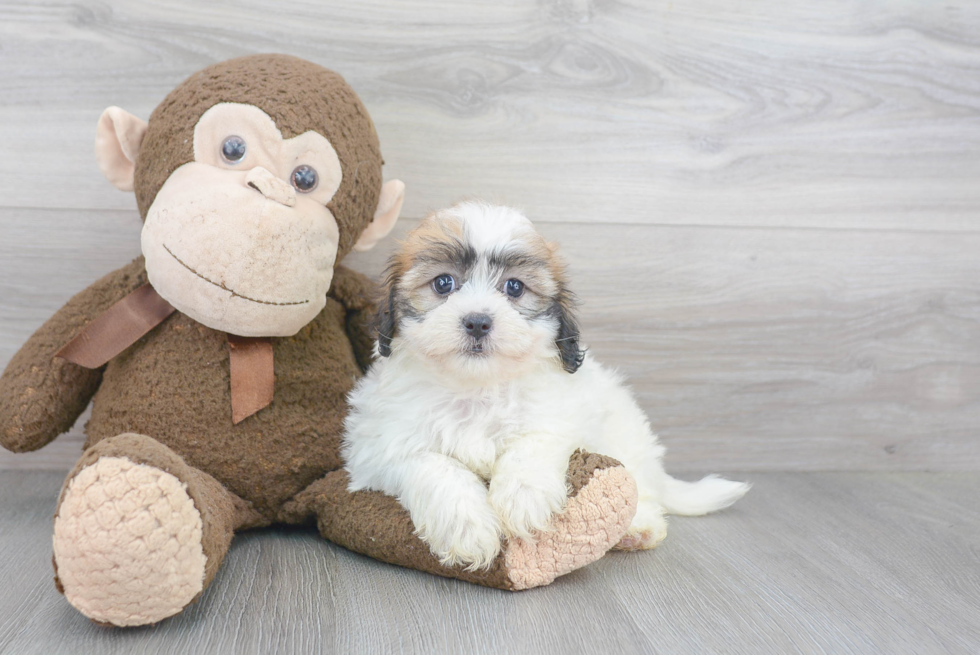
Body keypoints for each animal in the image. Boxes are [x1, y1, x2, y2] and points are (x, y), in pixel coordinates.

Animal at [340, 201, 748, 568]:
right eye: (443, 283)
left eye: (514, 288)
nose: (477, 321)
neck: (477, 387)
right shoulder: (381, 443)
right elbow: (434, 466)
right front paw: (467, 526)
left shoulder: (559, 414)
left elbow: (533, 443)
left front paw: (524, 498)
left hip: (623, 432)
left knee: (639, 484)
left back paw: (638, 526)